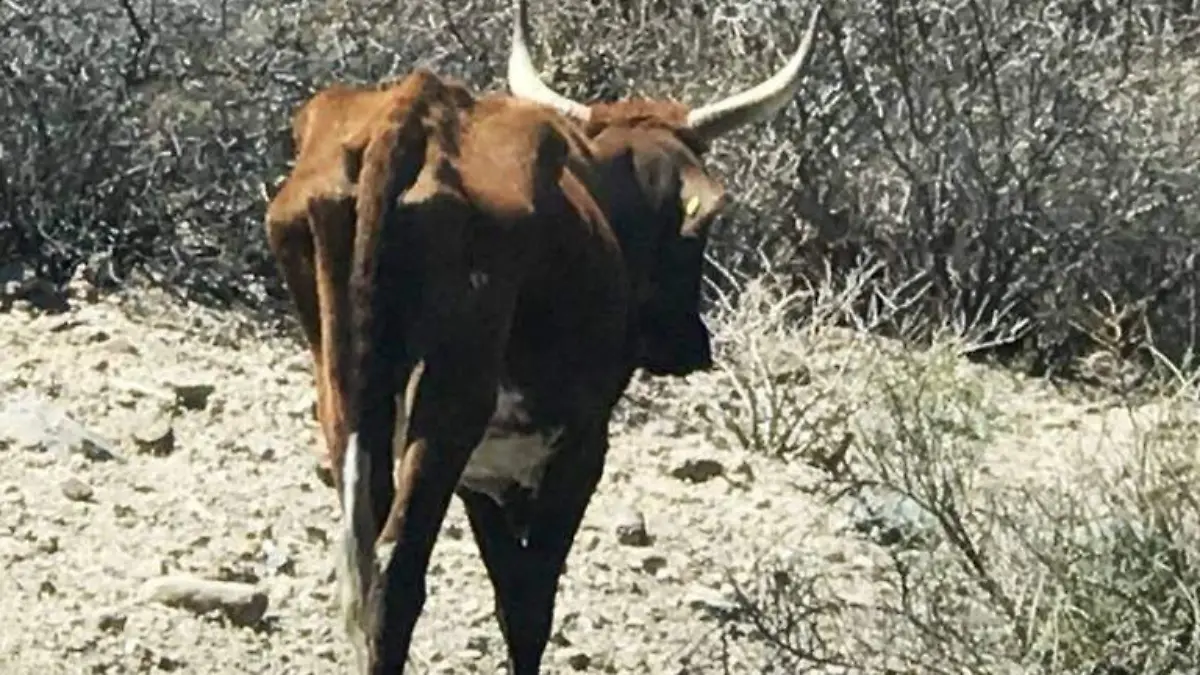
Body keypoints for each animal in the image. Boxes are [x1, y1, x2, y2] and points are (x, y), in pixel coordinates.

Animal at [265, 1, 825, 667]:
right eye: (698, 232)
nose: (689, 345)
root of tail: (412, 118)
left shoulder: (484, 475)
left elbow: (511, 590)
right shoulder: (576, 450)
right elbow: (531, 604)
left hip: (349, 405)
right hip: (447, 413)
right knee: (396, 580)